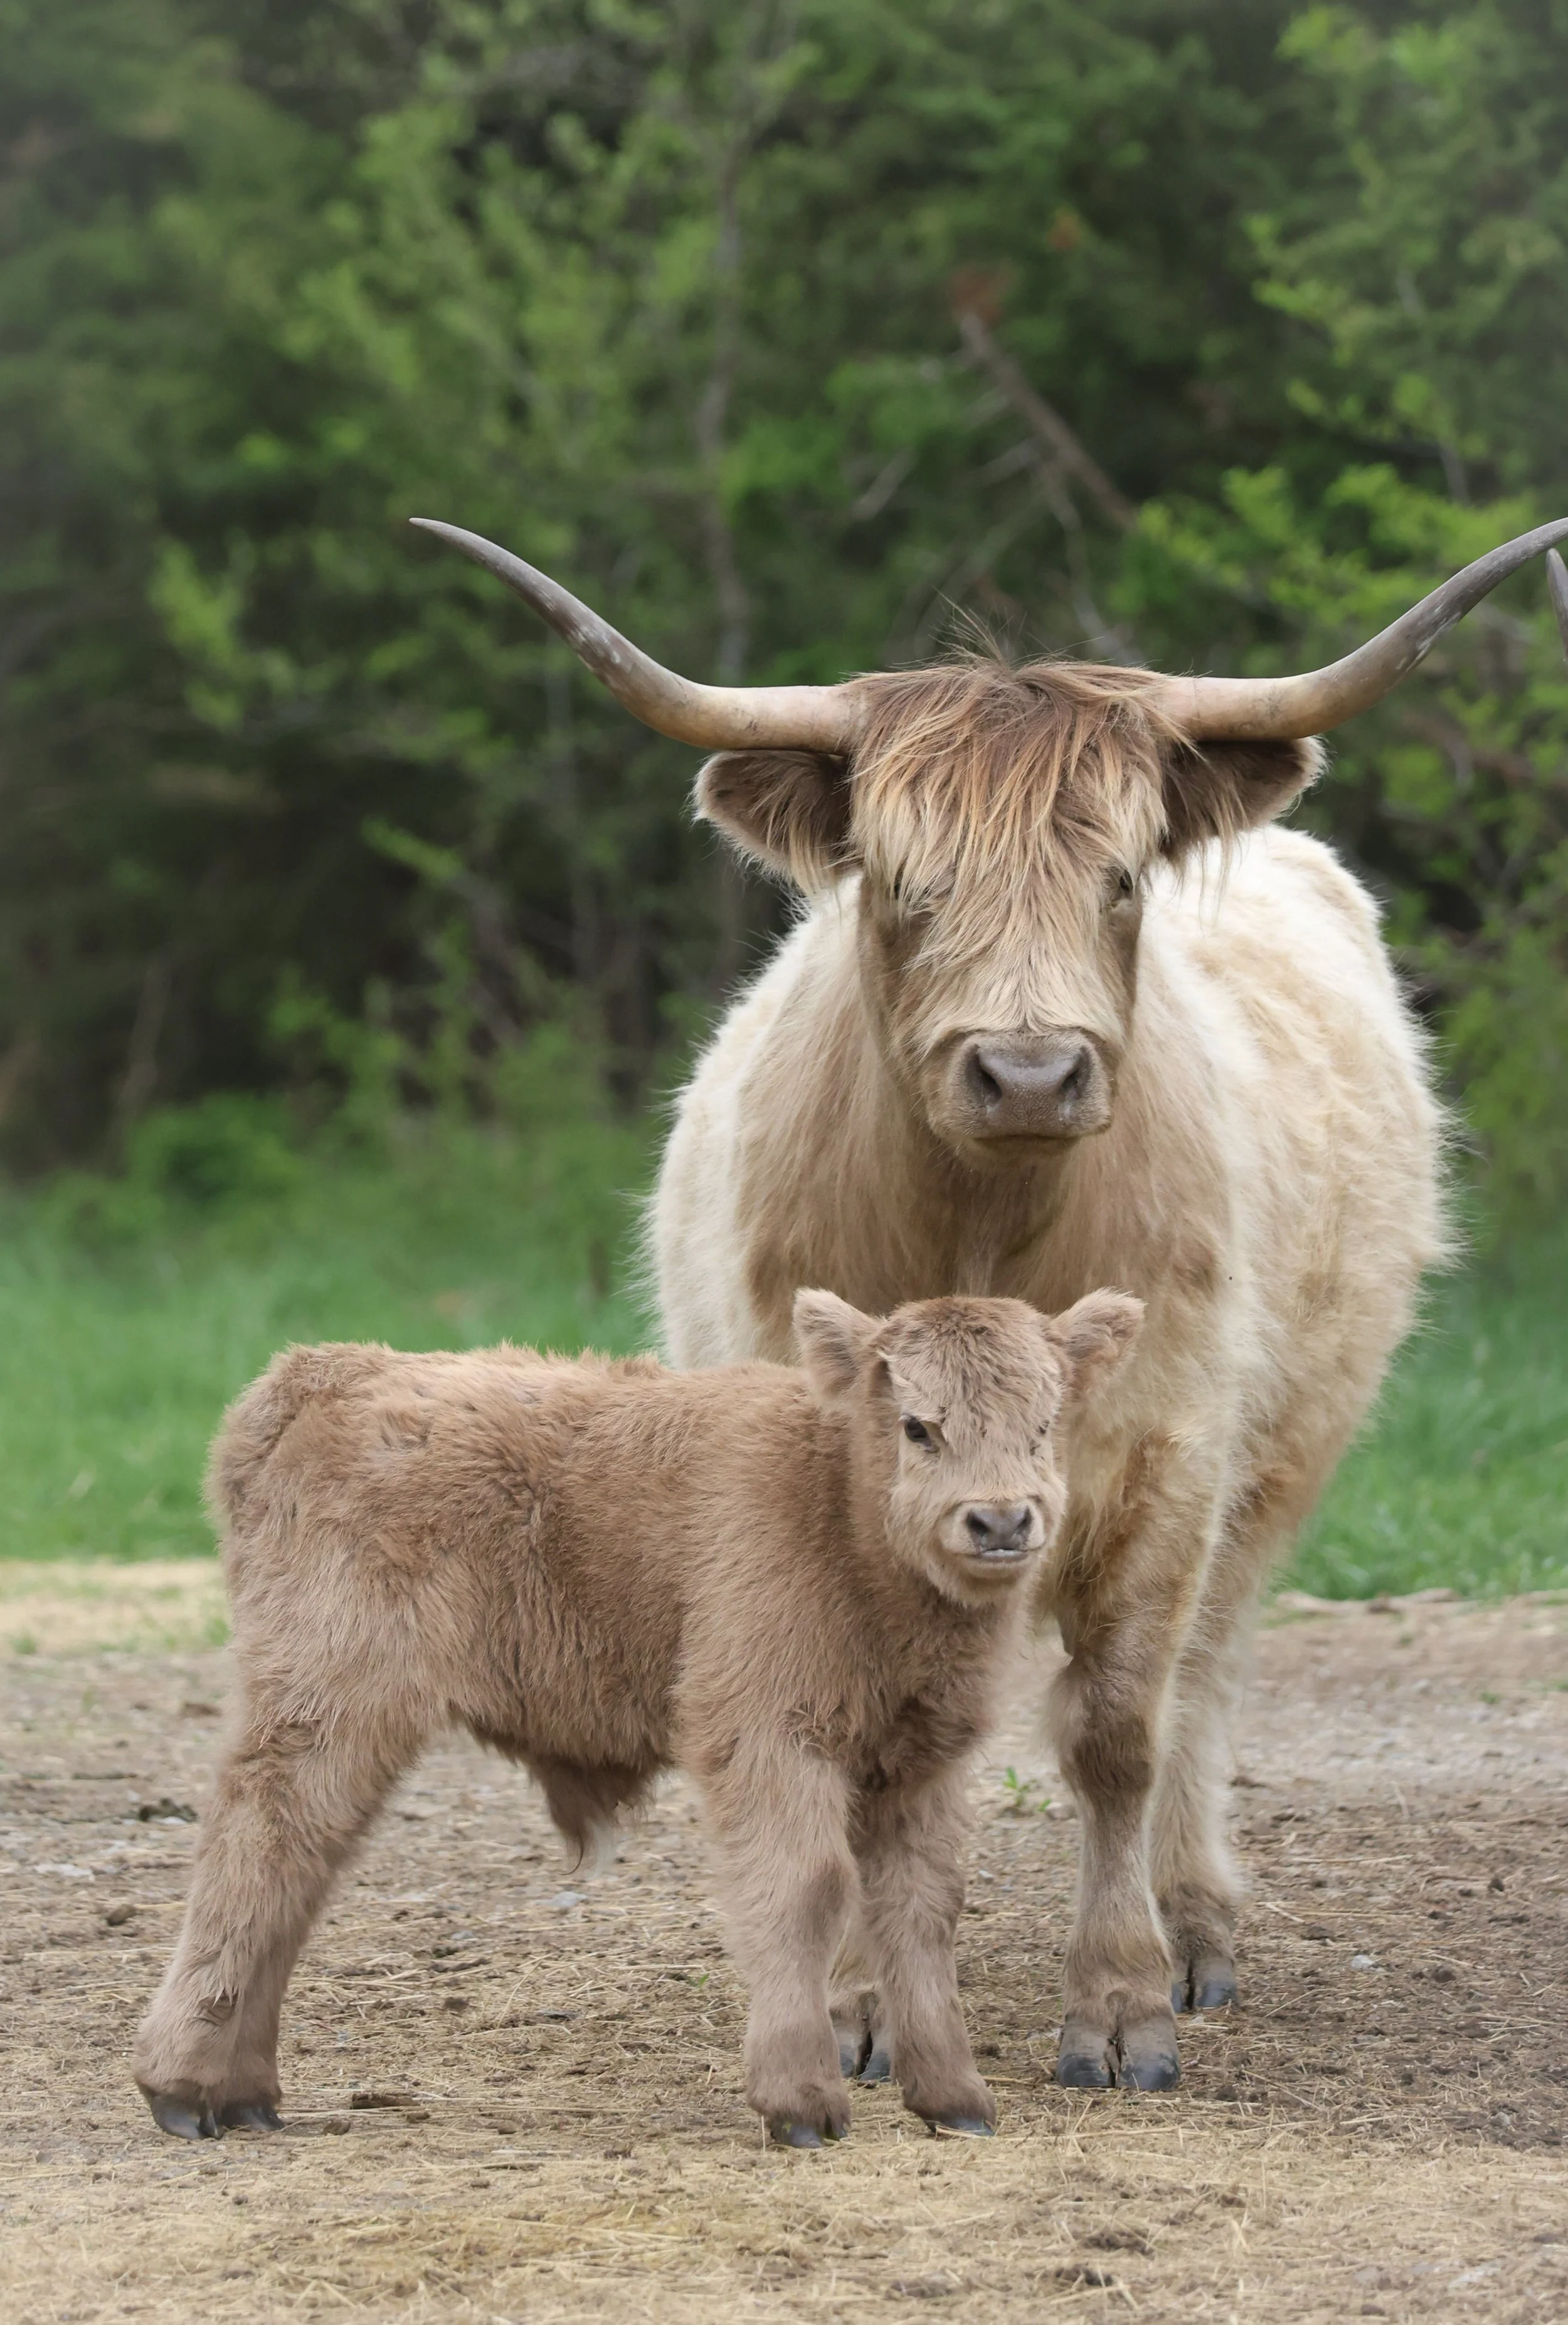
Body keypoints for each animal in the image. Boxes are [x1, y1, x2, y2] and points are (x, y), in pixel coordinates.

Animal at [135, 1289, 1142, 2148]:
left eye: (1043, 1424)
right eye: (918, 1425)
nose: (1001, 1521)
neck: (836, 1505)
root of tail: (327, 1372)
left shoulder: (919, 1763)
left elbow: (925, 1907)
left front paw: (955, 2098)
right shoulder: (769, 1739)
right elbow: (808, 1889)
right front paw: (802, 2101)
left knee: (299, 1870)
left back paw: (246, 2094)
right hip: (326, 1707)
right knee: (257, 1849)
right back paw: (180, 2087)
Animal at [411, 513, 1568, 2090]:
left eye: (1123, 879)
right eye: (904, 885)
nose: (1027, 1073)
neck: (983, 1228)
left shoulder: (1165, 1453)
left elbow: (1117, 1728)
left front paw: (1120, 2005)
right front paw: (846, 2004)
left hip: (1280, 1456)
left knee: (1205, 1670)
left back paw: (1197, 1922)